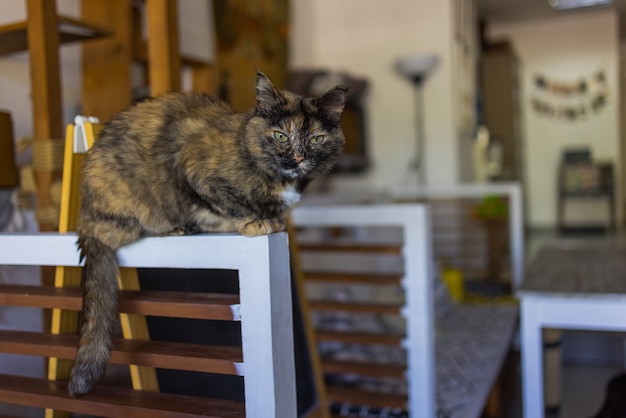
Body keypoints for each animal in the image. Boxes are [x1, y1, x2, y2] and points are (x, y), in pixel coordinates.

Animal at [70, 70, 348, 396]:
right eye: (281, 135)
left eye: (316, 138)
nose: (298, 157)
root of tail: (85, 219)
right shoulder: (197, 174)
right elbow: (227, 208)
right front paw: (255, 222)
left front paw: (274, 219)